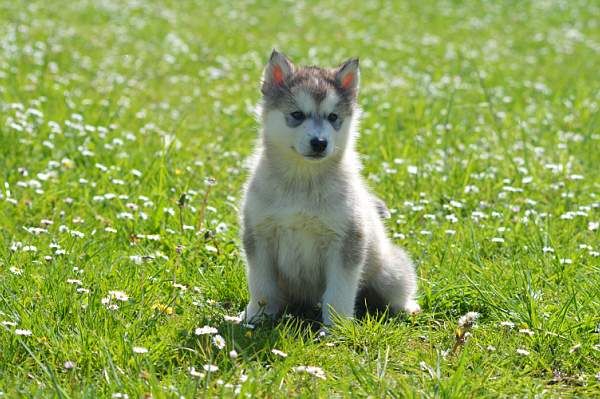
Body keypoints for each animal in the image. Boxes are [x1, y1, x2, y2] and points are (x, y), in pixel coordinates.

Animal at [241, 49, 420, 324]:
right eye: (297, 115)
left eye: (333, 117)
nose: (319, 142)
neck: (303, 180)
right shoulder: (259, 235)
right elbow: (261, 285)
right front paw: (257, 317)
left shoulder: (347, 241)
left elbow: (338, 292)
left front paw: (336, 327)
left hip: (391, 272)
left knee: (398, 291)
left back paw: (408, 307)